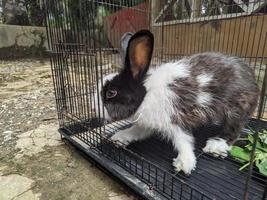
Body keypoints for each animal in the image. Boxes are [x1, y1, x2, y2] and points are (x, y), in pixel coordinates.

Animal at [98, 29, 260, 175]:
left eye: (111, 92)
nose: (95, 108)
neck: (146, 94)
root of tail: (252, 77)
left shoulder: (176, 119)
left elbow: (184, 140)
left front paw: (184, 163)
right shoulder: (147, 124)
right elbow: (135, 131)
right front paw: (119, 137)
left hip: (236, 109)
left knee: (234, 129)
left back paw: (216, 145)